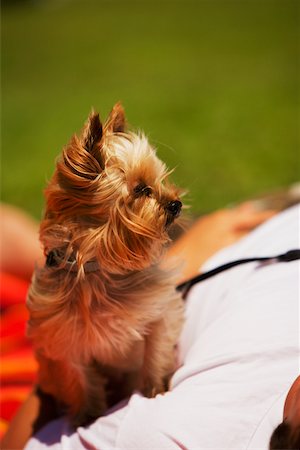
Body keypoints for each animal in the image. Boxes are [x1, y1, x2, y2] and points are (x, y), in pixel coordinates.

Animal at [27, 103, 184, 426]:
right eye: (140, 190)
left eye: (159, 181)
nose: (176, 204)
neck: (96, 269)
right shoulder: (64, 342)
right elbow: (79, 379)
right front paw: (87, 416)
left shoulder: (159, 312)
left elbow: (156, 351)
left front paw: (154, 390)